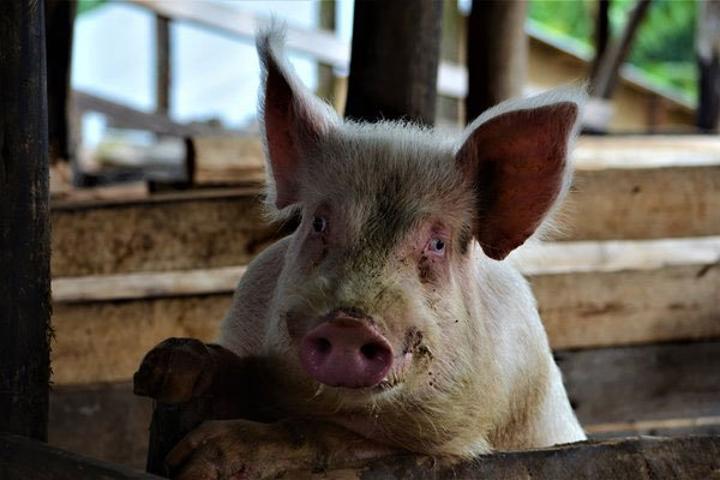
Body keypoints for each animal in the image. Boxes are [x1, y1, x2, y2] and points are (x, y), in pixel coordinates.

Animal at [134, 29, 586, 480]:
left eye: (438, 244)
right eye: (319, 223)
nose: (349, 324)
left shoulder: (455, 440)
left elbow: (325, 436)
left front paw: (194, 461)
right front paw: (168, 366)